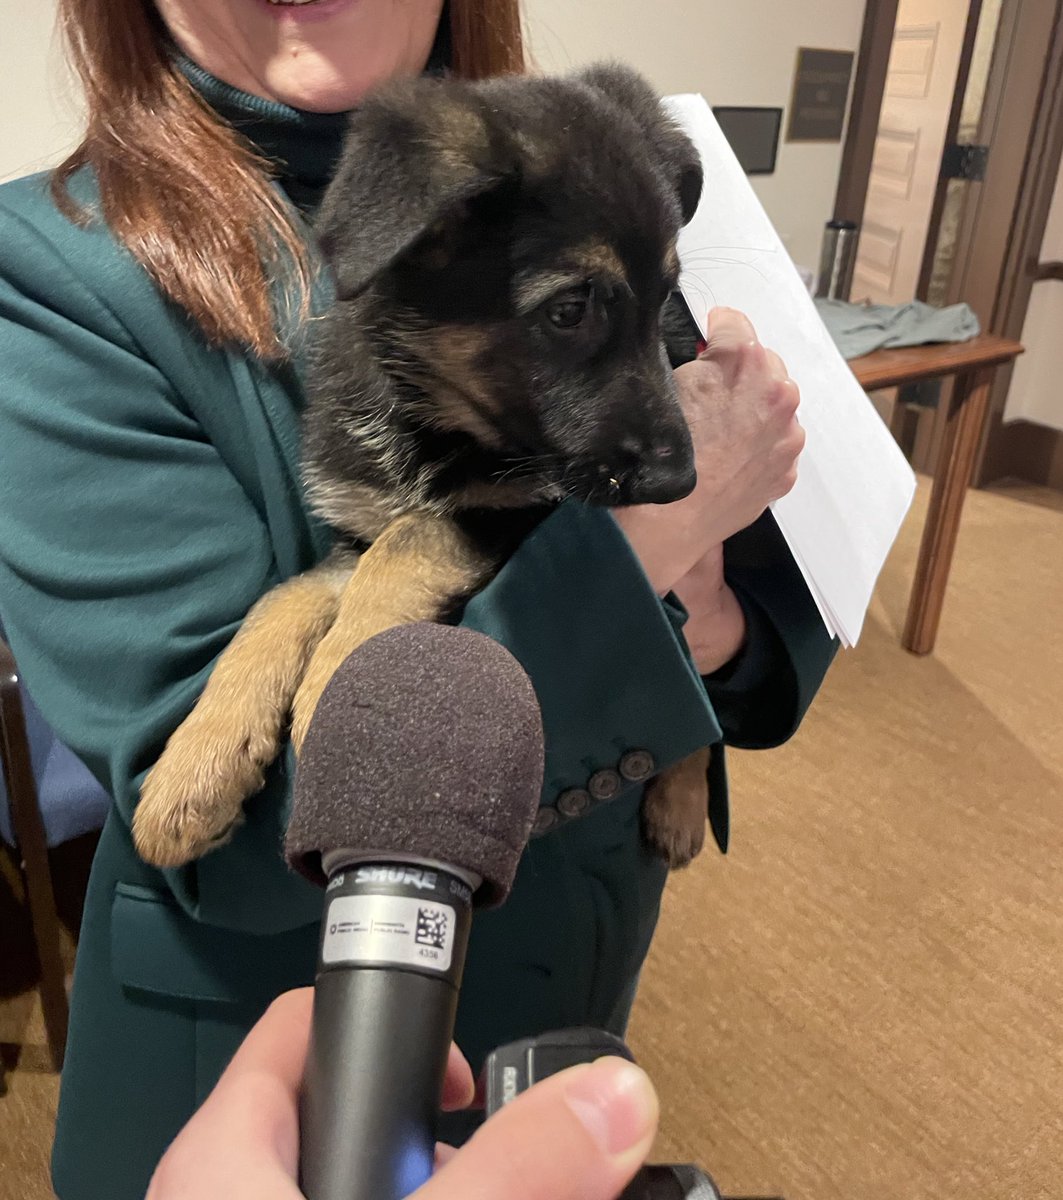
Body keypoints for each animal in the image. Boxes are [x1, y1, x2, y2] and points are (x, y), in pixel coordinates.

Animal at [131, 63, 715, 873]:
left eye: (665, 298)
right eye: (570, 310)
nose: (679, 485)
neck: (432, 415)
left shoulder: (515, 506)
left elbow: (410, 542)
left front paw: (335, 683)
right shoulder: (355, 530)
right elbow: (281, 600)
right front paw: (197, 763)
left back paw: (680, 800)